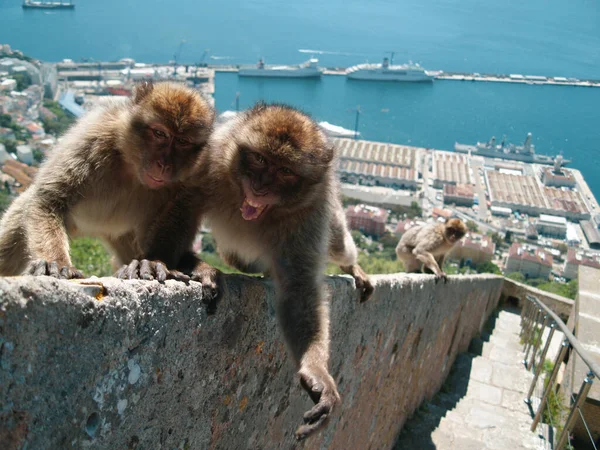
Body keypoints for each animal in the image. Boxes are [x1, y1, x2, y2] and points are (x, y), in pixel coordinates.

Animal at [0, 81, 217, 288]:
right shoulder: (94, 139)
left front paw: (152, 263)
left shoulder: (198, 168)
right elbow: (49, 200)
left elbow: (180, 211)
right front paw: (56, 262)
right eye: (159, 133)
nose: (164, 164)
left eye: (182, 141)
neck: (132, 167)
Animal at [202, 103, 370, 440]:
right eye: (259, 159)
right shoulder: (208, 161)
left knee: (337, 245)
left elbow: (299, 287)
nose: (260, 186)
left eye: (285, 171)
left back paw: (351, 264)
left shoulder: (311, 212)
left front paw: (316, 372)